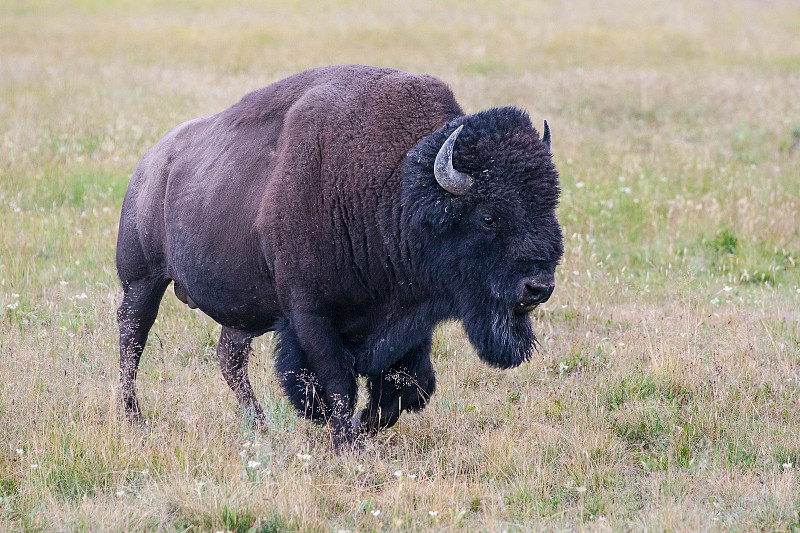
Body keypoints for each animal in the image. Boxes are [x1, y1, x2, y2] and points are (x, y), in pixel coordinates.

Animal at [119, 63, 564, 448]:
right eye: (488, 216)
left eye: (551, 204)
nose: (539, 287)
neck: (397, 190)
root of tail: (152, 162)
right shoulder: (311, 315)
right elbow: (336, 384)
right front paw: (346, 443)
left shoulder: (409, 319)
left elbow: (407, 387)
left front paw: (364, 427)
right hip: (141, 281)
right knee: (131, 342)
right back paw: (134, 419)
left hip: (243, 310)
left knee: (229, 358)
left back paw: (261, 427)